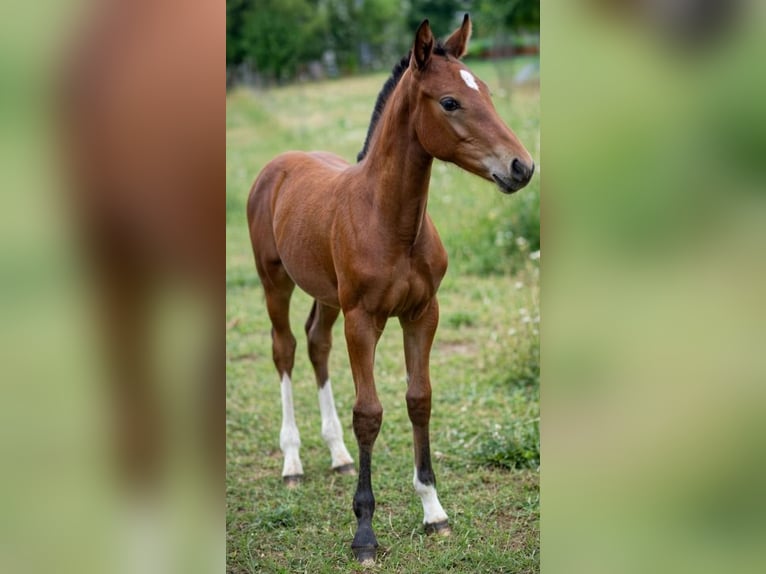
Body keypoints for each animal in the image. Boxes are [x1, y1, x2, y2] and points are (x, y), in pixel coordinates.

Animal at [247, 14, 534, 564]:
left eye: (487, 91)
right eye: (450, 102)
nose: (521, 167)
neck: (389, 220)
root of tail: (278, 164)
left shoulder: (423, 313)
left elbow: (419, 398)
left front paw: (434, 510)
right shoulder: (363, 320)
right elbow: (370, 413)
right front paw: (364, 532)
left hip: (326, 294)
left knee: (316, 342)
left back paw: (337, 454)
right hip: (275, 281)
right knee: (285, 349)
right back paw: (293, 462)